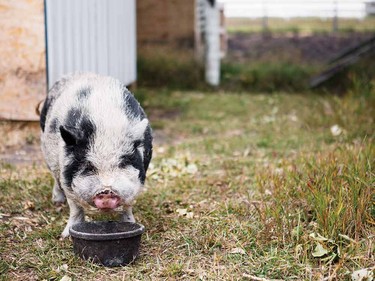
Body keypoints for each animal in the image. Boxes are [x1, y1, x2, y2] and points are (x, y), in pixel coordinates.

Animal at [39, 72, 153, 236]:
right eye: (89, 166)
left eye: (123, 163)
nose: (106, 191)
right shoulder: (67, 181)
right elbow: (75, 210)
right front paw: (65, 236)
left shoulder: (137, 182)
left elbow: (127, 207)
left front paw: (132, 224)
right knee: (55, 179)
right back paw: (57, 202)